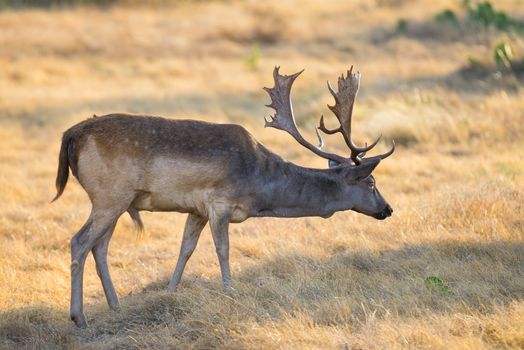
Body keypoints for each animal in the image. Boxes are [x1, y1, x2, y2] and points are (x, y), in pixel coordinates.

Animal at [53, 66, 396, 328]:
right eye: (371, 182)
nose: (388, 209)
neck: (258, 185)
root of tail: (71, 134)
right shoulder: (220, 204)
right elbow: (223, 250)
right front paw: (229, 292)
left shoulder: (196, 210)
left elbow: (185, 250)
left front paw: (169, 294)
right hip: (110, 195)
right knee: (80, 241)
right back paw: (79, 317)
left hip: (117, 201)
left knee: (99, 247)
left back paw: (115, 306)